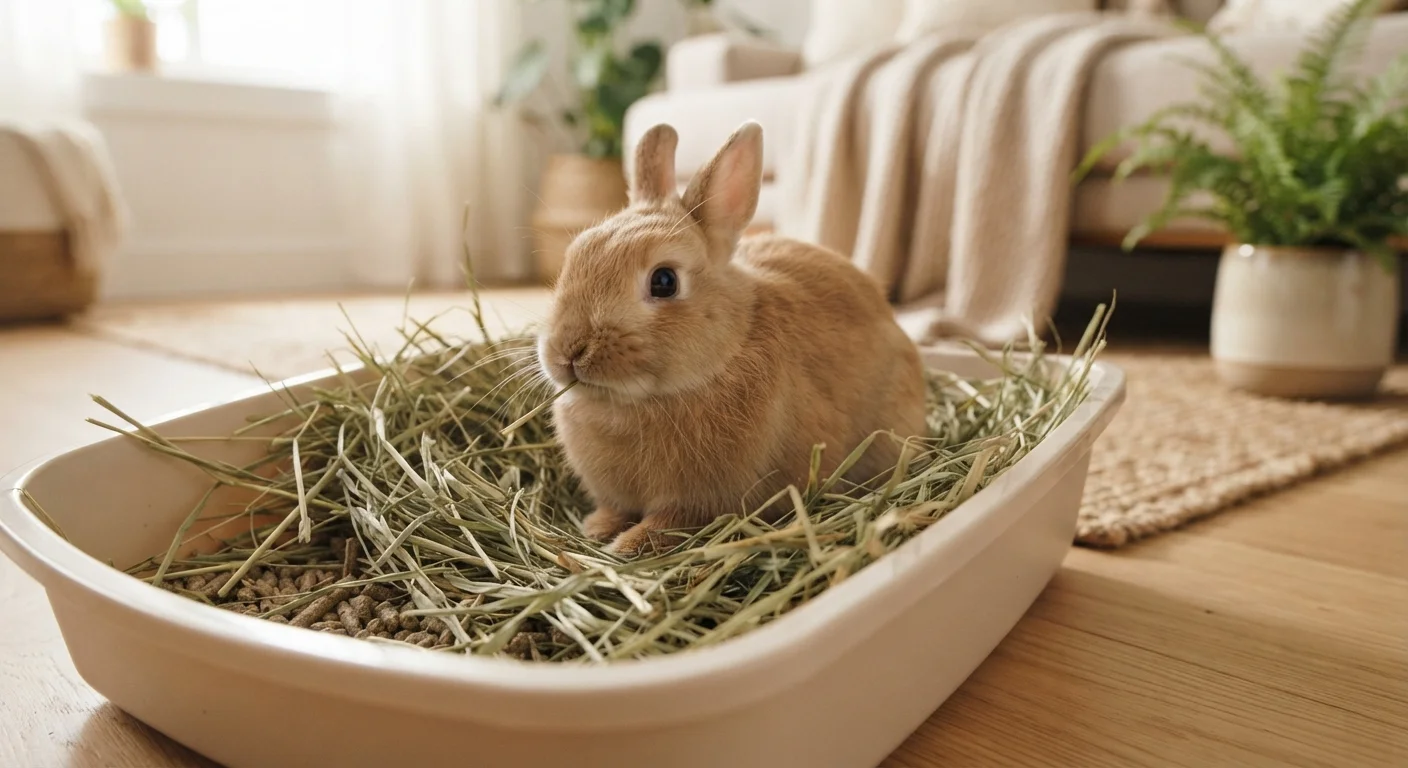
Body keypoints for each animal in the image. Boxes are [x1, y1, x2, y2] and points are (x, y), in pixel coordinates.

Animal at [536, 120, 929, 556]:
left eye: (664, 281)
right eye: (573, 257)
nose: (568, 352)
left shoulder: (696, 504)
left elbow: (665, 524)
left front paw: (625, 546)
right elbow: (614, 509)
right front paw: (597, 528)